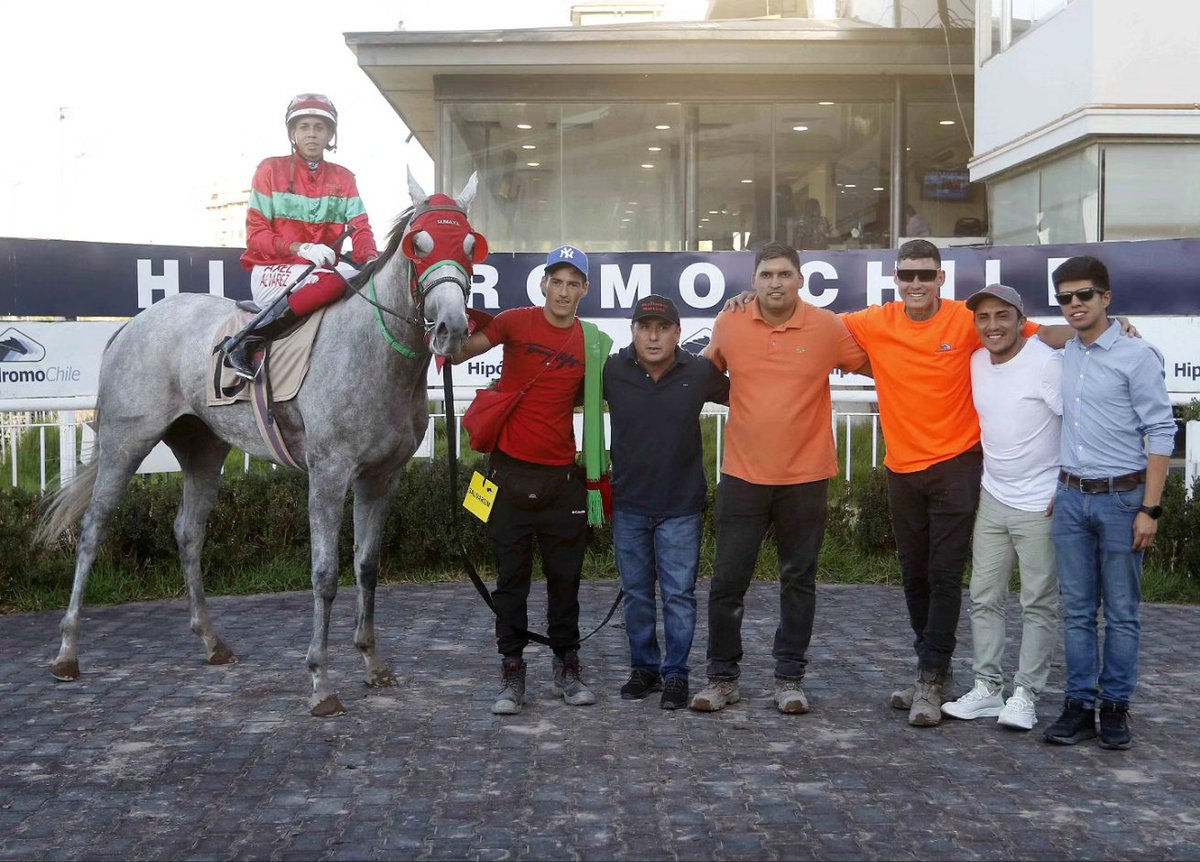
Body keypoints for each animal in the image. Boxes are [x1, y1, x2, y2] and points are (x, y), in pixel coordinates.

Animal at [38, 171, 477, 720]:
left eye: (469, 245)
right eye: (420, 245)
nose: (453, 329)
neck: (376, 352)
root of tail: (132, 324)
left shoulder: (382, 477)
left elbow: (367, 567)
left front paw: (373, 663)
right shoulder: (329, 473)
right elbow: (325, 573)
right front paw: (321, 682)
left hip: (203, 448)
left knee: (188, 532)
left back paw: (212, 642)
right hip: (126, 441)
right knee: (93, 530)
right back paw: (67, 652)